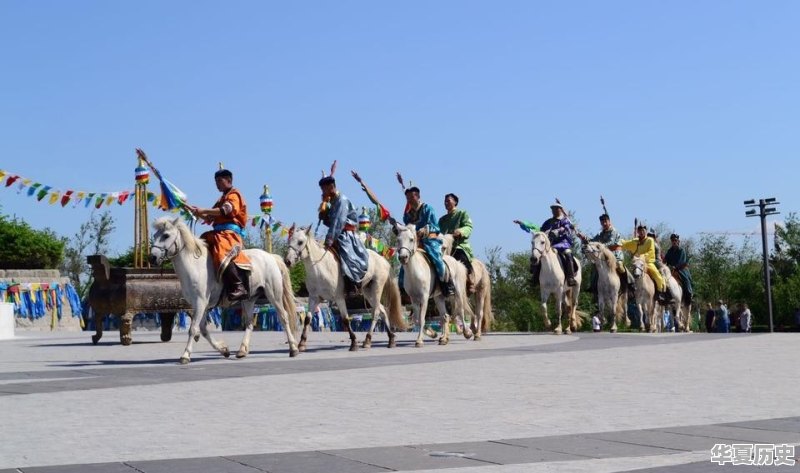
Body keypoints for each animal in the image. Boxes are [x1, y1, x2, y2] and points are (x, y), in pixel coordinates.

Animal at [150, 216, 300, 364]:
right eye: (155, 235)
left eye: (166, 235)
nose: (153, 258)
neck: (195, 265)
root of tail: (271, 257)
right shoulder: (199, 305)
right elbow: (203, 330)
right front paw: (224, 350)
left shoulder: (200, 302)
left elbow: (193, 329)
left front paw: (185, 355)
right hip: (249, 300)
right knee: (249, 323)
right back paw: (242, 351)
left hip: (274, 295)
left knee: (284, 317)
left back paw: (293, 349)